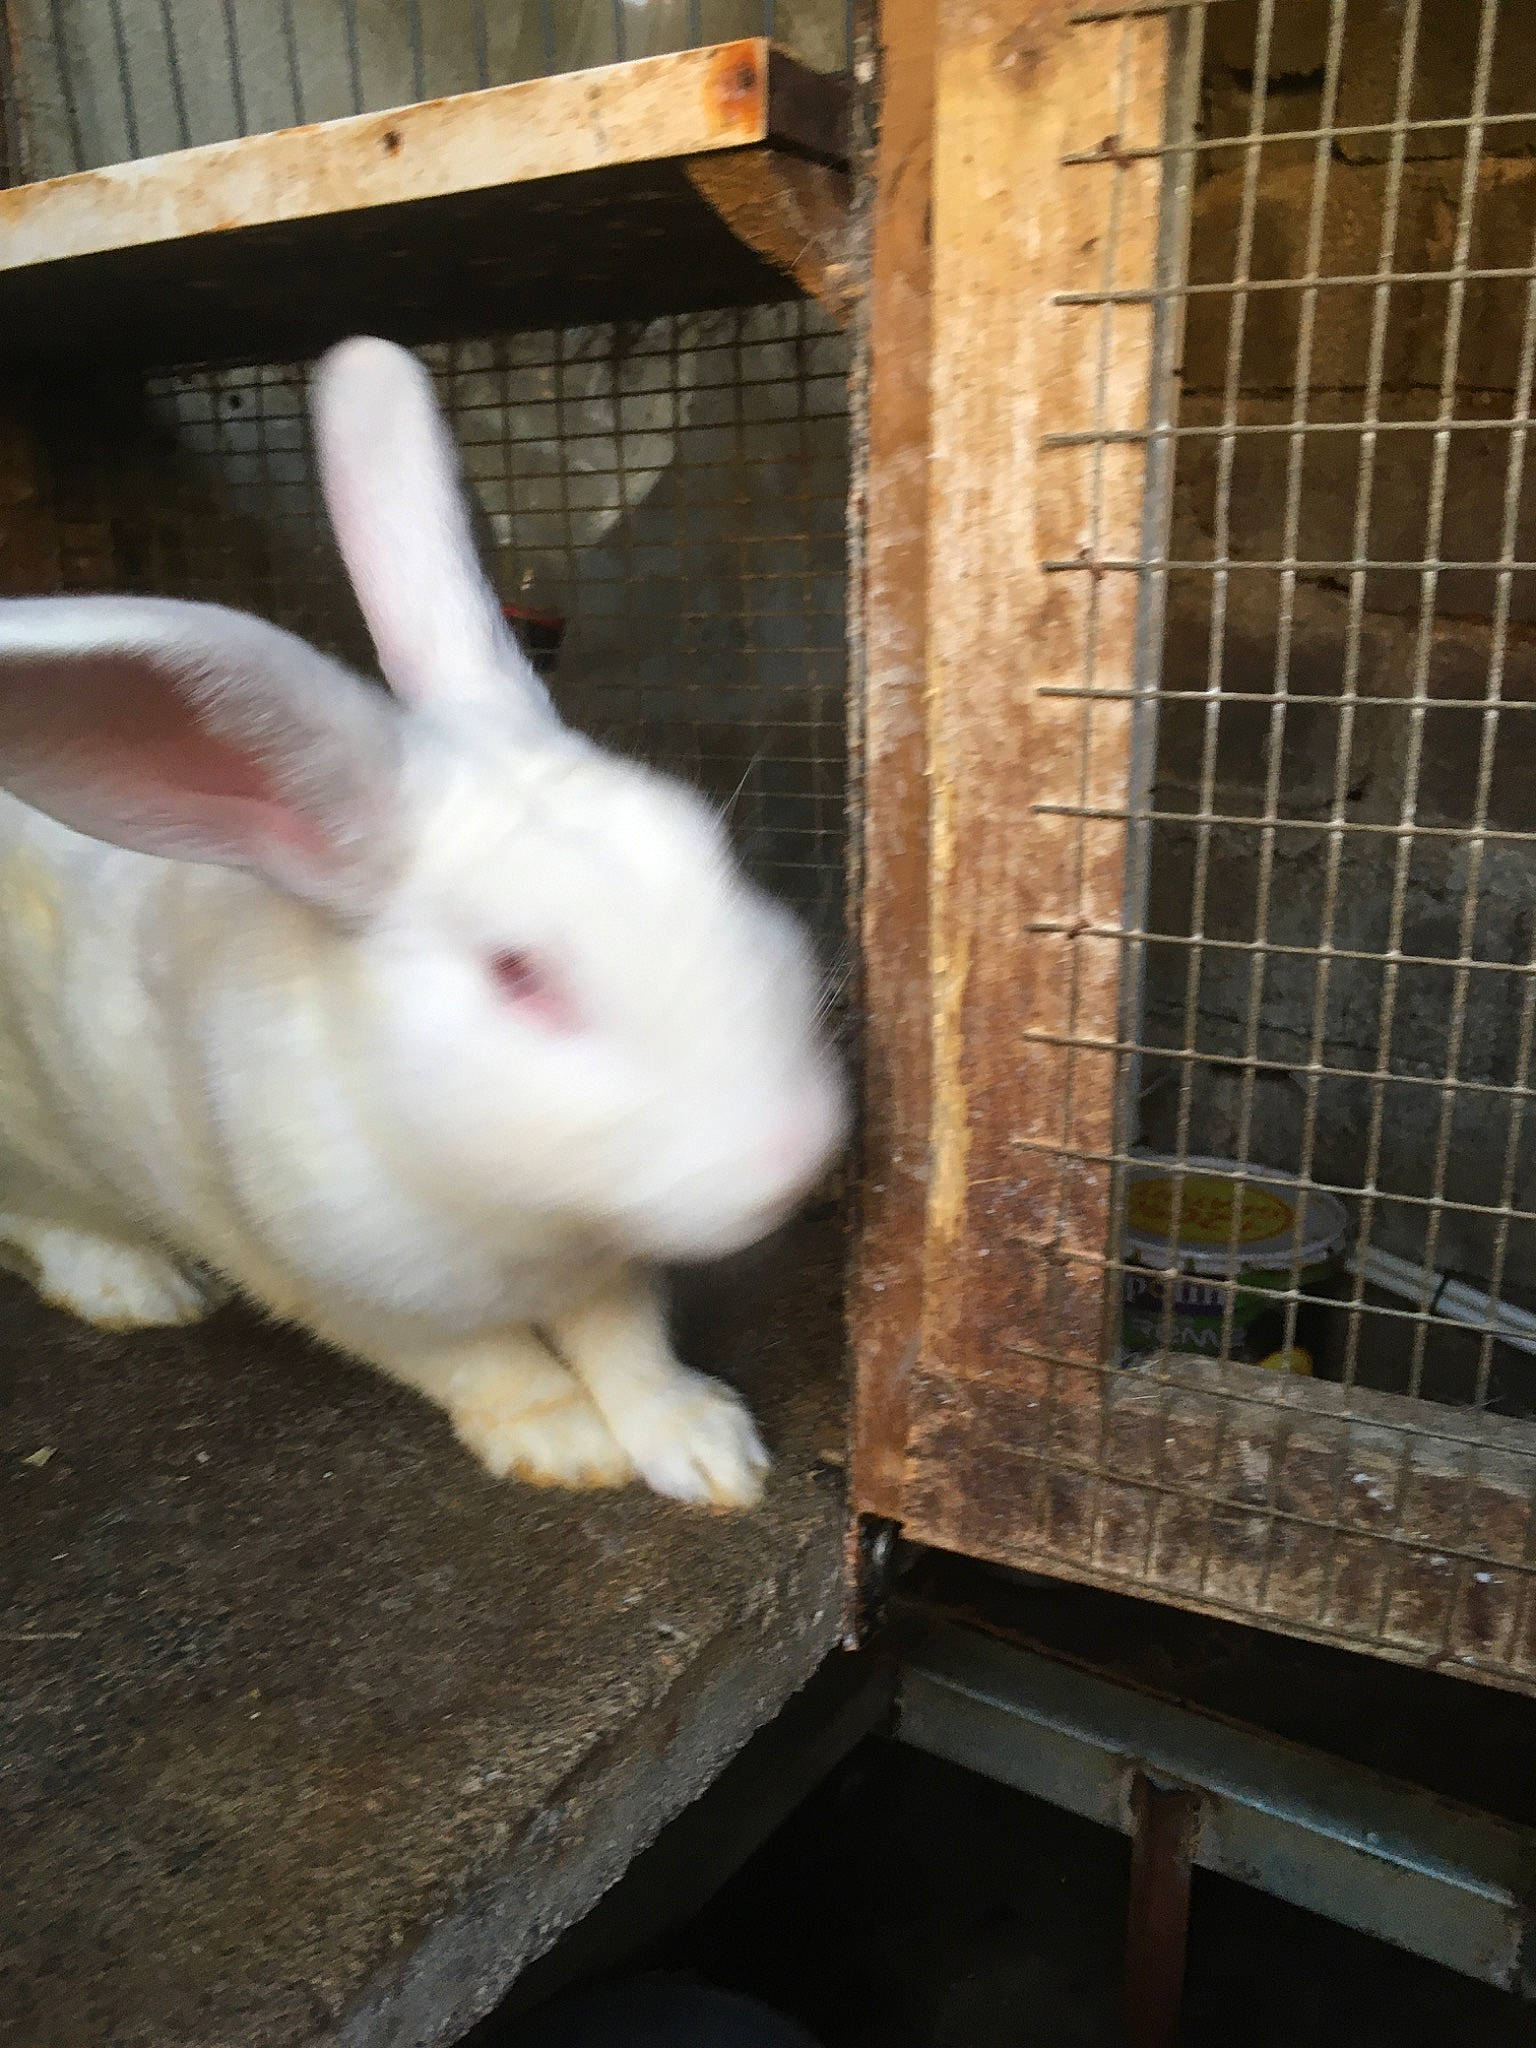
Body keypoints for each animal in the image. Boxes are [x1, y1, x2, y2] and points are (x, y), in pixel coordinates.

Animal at [0, 335, 847, 1509]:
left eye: (712, 857)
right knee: (37, 1219)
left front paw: (707, 1448)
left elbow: (628, 1341)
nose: (796, 1153)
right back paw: (139, 1287)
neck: (520, 1207)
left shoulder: (609, 1259)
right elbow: (477, 1360)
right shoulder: (336, 1282)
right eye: (517, 973)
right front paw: (566, 1445)